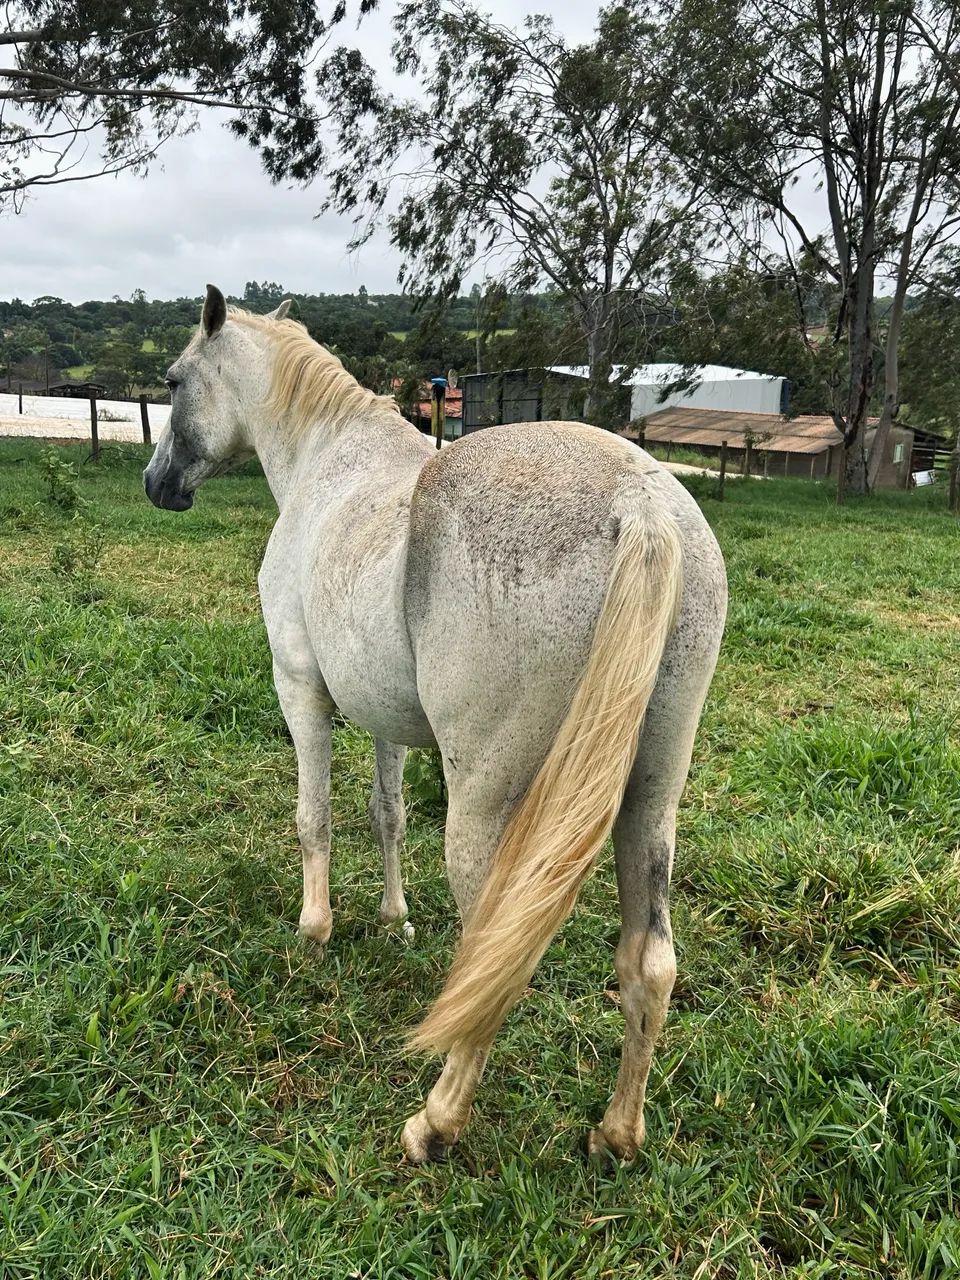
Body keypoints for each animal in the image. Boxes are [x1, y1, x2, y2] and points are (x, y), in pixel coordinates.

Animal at [144, 284, 727, 1164]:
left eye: (175, 381)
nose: (158, 484)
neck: (327, 464)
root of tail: (642, 502)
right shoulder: (381, 717)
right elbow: (384, 815)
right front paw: (394, 921)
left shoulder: (302, 692)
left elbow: (314, 817)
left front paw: (314, 930)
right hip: (651, 801)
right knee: (648, 963)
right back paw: (617, 1135)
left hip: (485, 812)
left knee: (497, 961)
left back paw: (436, 1121)